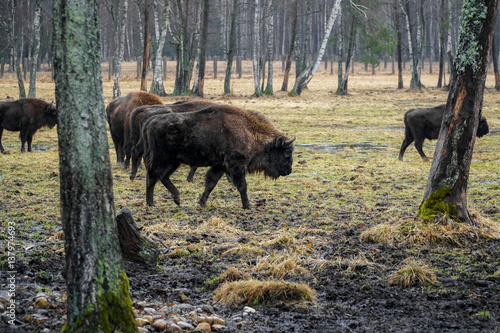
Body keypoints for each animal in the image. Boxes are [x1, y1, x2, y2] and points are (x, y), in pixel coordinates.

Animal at [143, 104, 294, 208]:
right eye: (287, 152)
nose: (289, 171)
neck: (249, 131)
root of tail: (150, 121)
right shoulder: (236, 166)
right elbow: (242, 186)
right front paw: (248, 205)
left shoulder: (219, 166)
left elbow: (211, 184)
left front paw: (202, 203)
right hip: (162, 159)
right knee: (152, 176)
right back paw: (151, 203)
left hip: (174, 161)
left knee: (163, 177)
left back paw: (177, 199)